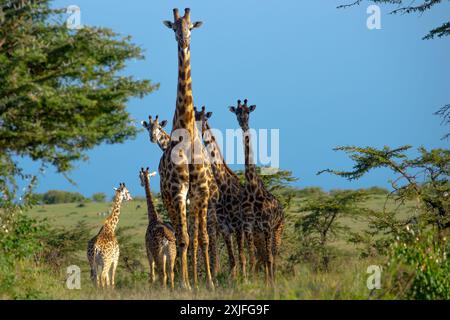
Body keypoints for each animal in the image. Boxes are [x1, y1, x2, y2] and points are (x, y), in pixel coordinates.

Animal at [193, 105, 250, 278]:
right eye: (195, 117)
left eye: (205, 118)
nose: (198, 129)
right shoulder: (225, 228)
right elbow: (232, 259)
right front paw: (233, 279)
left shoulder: (238, 225)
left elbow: (241, 256)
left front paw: (245, 279)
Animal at [229, 99, 284, 284]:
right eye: (237, 112)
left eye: (248, 111)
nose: (243, 122)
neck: (252, 188)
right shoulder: (248, 226)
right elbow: (252, 258)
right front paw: (251, 282)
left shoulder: (267, 226)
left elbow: (269, 258)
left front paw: (270, 285)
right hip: (259, 234)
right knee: (263, 256)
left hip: (277, 230)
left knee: (273, 255)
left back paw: (272, 281)